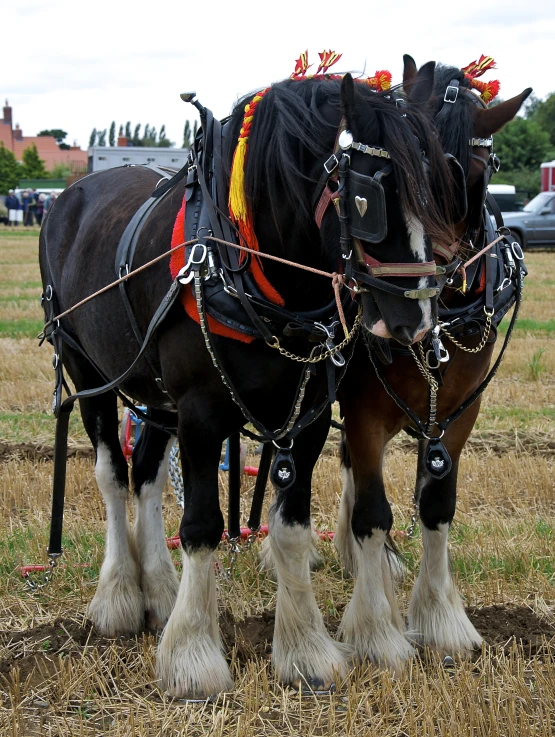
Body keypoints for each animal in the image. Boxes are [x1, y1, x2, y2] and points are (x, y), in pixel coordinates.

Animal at [38, 67, 456, 696]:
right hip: (92, 373)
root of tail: (70, 194)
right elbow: (202, 526)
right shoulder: (200, 412)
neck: (249, 270)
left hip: (157, 397)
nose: (417, 318)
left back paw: (159, 590)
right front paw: (192, 657)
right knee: (112, 476)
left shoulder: (307, 416)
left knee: (146, 476)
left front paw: (306, 651)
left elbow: (291, 528)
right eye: (367, 198)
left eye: (439, 194)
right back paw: (119, 598)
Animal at [332, 59, 532, 660]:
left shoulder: (459, 411)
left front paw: (444, 620)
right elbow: (372, 510)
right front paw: (375, 628)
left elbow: (437, 504)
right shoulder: (363, 409)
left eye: (473, 176)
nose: (419, 306)